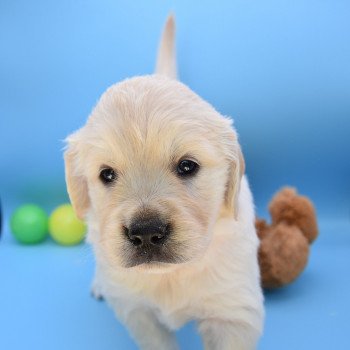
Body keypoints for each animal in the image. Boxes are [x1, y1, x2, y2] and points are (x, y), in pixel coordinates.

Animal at [64, 15, 264, 348]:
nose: (146, 233)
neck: (170, 275)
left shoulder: (232, 313)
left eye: (187, 166)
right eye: (106, 174)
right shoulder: (137, 311)